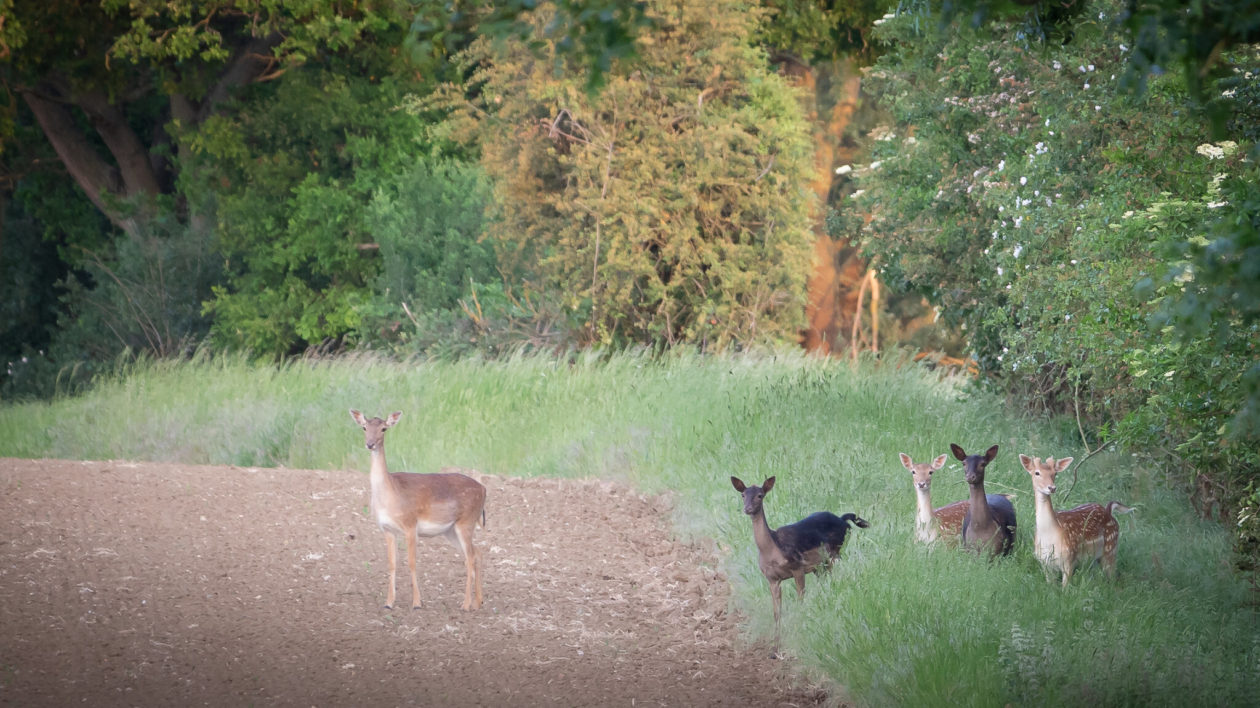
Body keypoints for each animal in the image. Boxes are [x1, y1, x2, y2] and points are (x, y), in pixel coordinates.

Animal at [350, 410, 486, 609]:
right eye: (364, 427)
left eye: (383, 428)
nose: (370, 444)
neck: (390, 495)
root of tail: (484, 490)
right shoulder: (387, 529)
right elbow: (392, 563)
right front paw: (388, 603)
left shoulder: (410, 524)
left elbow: (412, 562)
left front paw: (416, 603)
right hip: (451, 530)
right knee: (477, 553)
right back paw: (478, 602)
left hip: (466, 521)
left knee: (469, 557)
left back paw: (465, 605)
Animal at [730, 471, 866, 650]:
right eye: (743, 495)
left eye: (760, 495)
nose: (747, 509)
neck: (773, 551)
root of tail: (844, 519)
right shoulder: (771, 578)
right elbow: (777, 612)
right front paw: (775, 646)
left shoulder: (798, 567)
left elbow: (799, 602)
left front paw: (798, 630)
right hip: (820, 566)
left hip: (837, 553)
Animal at [1018, 451, 1139, 584]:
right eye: (1037, 473)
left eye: (1055, 473)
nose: (1052, 488)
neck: (1049, 536)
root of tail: (1108, 511)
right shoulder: (1044, 563)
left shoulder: (1069, 559)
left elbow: (1065, 587)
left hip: (1111, 549)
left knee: (1112, 576)